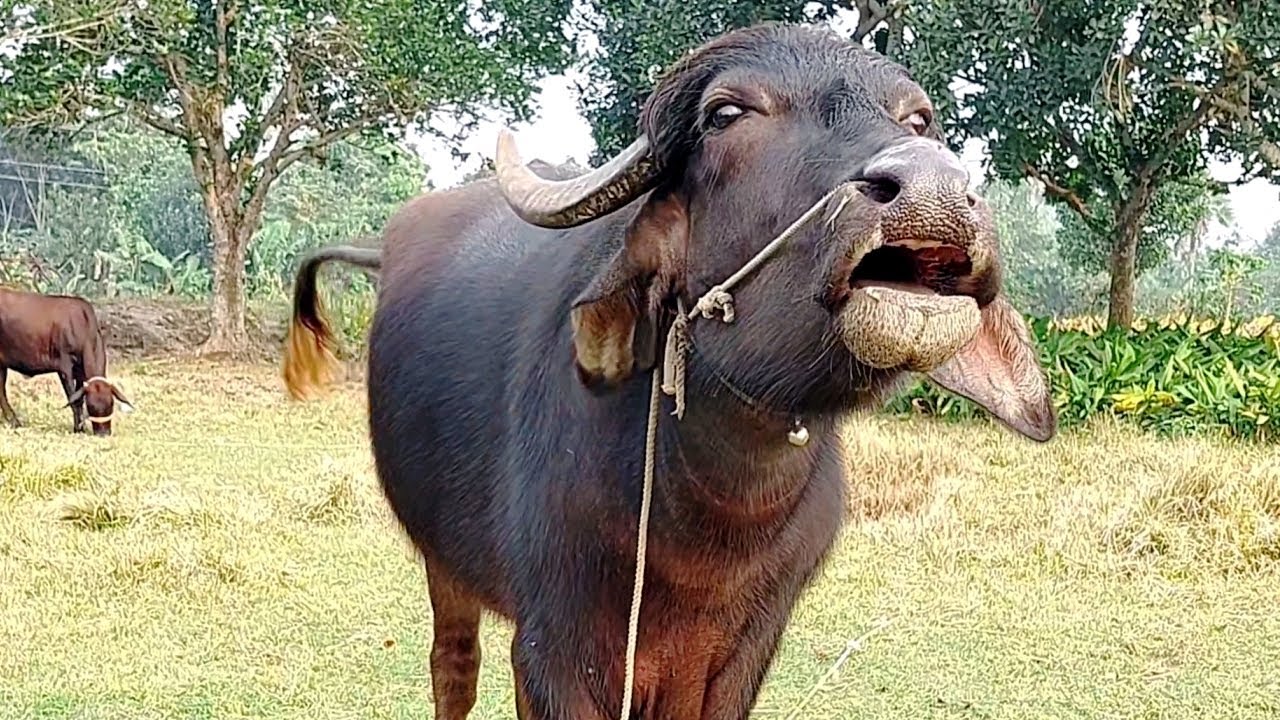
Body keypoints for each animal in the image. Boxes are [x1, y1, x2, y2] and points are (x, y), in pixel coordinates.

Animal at [0, 287, 134, 435]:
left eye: (111, 403)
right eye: (91, 406)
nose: (103, 434)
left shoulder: (80, 372)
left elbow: (79, 398)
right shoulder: (64, 367)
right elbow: (73, 399)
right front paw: (78, 428)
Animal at [282, 22, 1056, 720]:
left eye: (916, 119)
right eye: (727, 114)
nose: (934, 190)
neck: (715, 510)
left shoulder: (746, 647)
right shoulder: (554, 646)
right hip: (442, 560)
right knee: (453, 669)